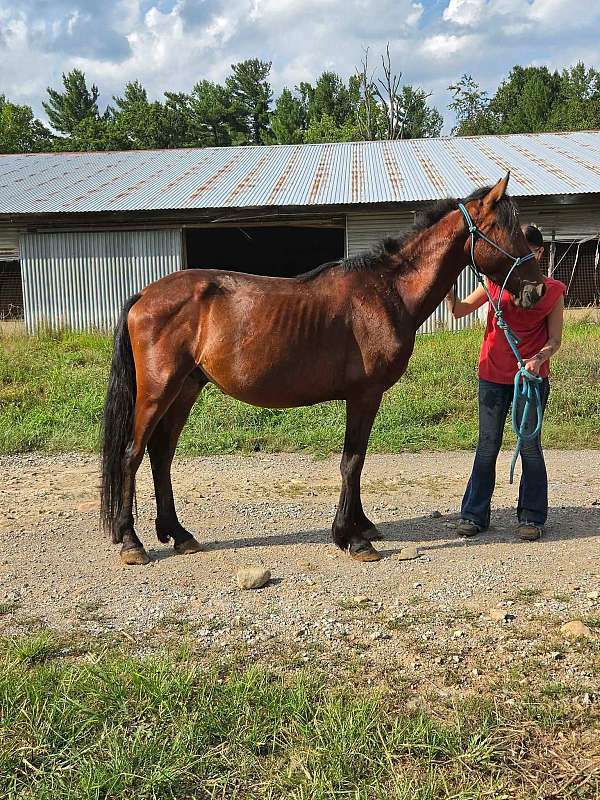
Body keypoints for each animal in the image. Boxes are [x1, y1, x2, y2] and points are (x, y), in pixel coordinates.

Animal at [101, 173, 545, 566]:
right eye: (505, 230)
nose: (536, 290)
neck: (386, 291)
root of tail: (145, 294)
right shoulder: (364, 394)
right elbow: (353, 461)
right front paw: (352, 539)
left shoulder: (364, 397)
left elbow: (358, 460)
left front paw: (361, 526)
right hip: (158, 390)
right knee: (132, 454)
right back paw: (132, 543)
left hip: (186, 388)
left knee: (161, 455)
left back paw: (179, 535)